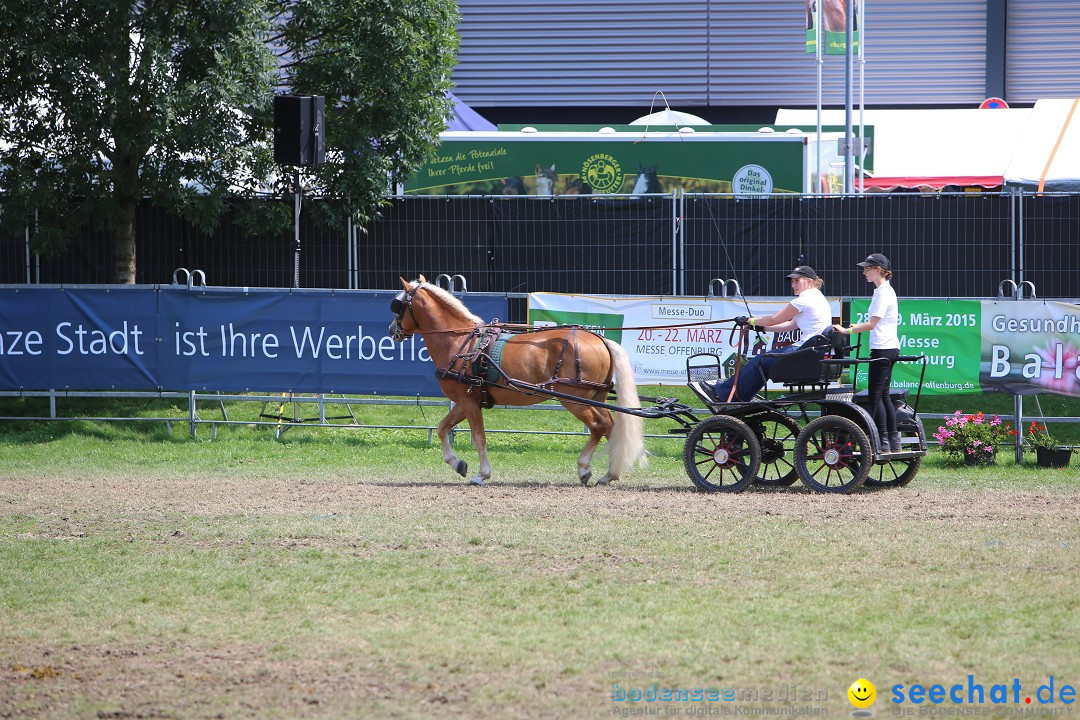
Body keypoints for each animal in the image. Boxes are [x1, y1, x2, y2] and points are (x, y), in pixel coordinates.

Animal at [388, 278, 639, 487]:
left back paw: (584, 468)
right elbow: (442, 428)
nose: (392, 330)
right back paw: (610, 473)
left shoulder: (469, 403)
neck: (460, 342)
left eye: (397, 305)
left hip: (575, 400)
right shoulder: (465, 401)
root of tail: (601, 340)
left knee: (599, 425)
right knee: (611, 427)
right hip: (596, 397)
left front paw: (482, 474)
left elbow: (479, 438)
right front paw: (458, 464)